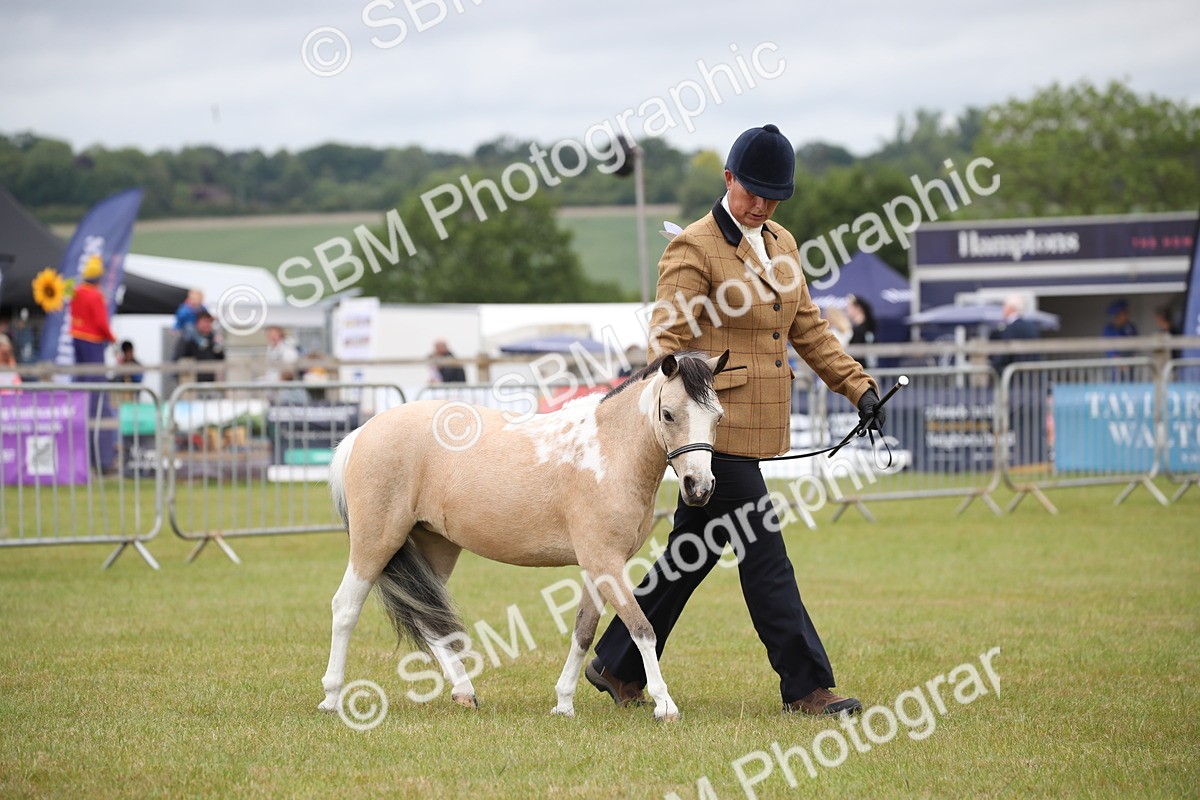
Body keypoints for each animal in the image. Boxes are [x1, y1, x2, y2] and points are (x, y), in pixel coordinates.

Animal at [318, 350, 729, 722]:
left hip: (436, 546)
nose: (700, 487)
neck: (608, 452)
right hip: (376, 541)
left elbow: (583, 631)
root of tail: (363, 432)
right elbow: (642, 628)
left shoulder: (598, 567)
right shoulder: (606, 563)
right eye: (669, 414)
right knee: (346, 608)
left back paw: (464, 693)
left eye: (718, 416)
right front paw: (665, 705)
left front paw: (564, 703)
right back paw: (332, 697)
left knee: (426, 617)